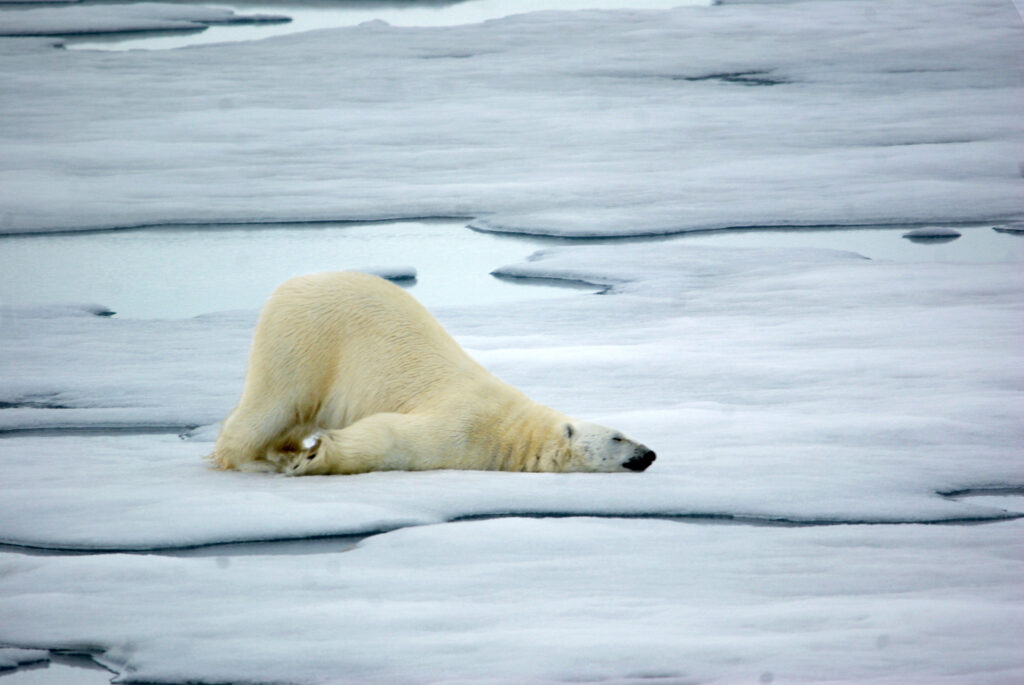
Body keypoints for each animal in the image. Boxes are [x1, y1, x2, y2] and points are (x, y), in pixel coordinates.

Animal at [207, 270, 655, 473]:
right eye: (618, 436)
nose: (649, 453)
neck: (513, 432)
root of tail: (293, 284)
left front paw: (308, 454)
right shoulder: (462, 424)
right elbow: (390, 436)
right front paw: (315, 457)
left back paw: (283, 451)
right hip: (306, 342)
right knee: (274, 404)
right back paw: (251, 460)